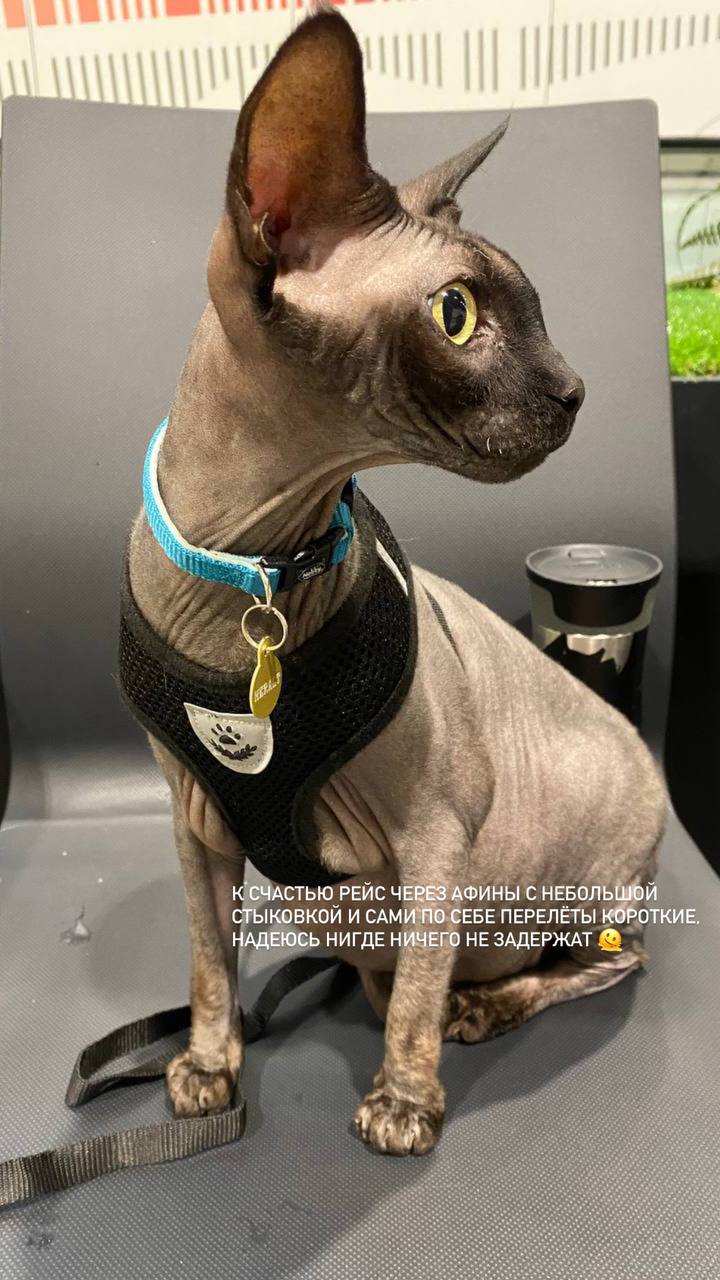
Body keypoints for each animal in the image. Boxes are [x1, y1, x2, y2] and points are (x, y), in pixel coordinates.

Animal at [123, 9, 666, 1156]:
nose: (576, 388)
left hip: (586, 892)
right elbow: (207, 959)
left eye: (538, 314)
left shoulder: (437, 832)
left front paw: (404, 1102)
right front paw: (208, 1065)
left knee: (601, 959)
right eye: (457, 316)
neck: (257, 564)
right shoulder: (194, 823)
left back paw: (484, 1005)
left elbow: (419, 979)